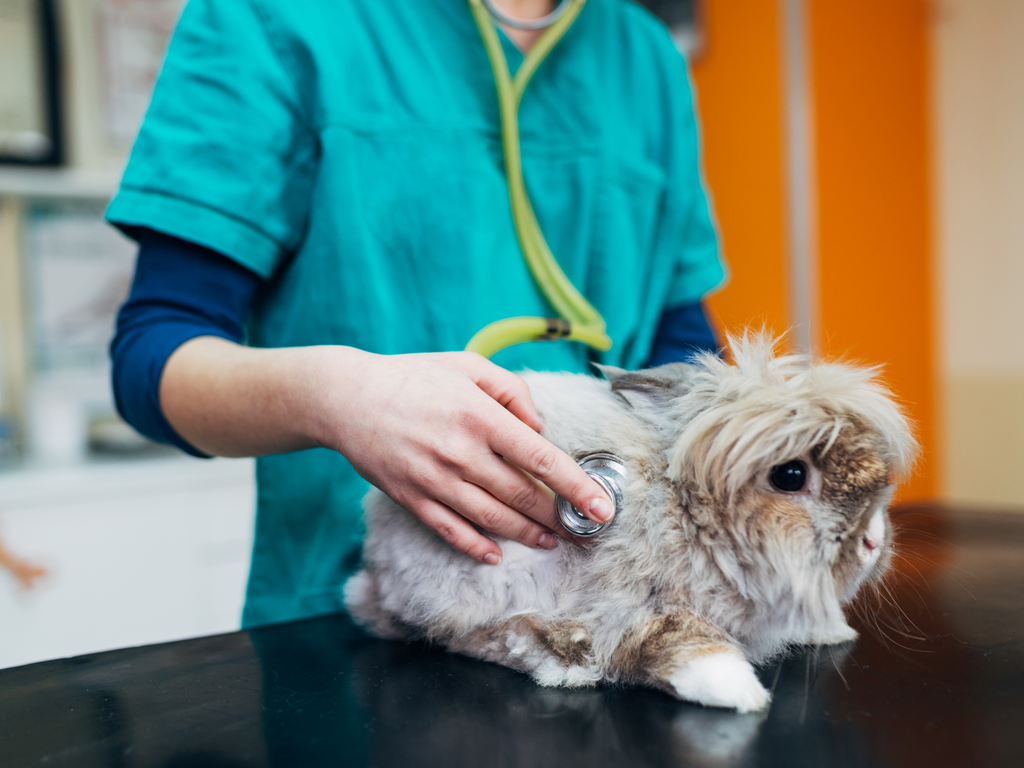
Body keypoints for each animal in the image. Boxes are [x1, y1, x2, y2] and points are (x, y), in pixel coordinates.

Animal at [344, 335, 921, 716]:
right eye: (791, 475)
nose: (873, 542)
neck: (684, 512)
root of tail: (374, 566)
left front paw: (830, 629)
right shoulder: (630, 605)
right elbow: (680, 639)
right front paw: (739, 692)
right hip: (478, 576)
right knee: (474, 636)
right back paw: (566, 661)